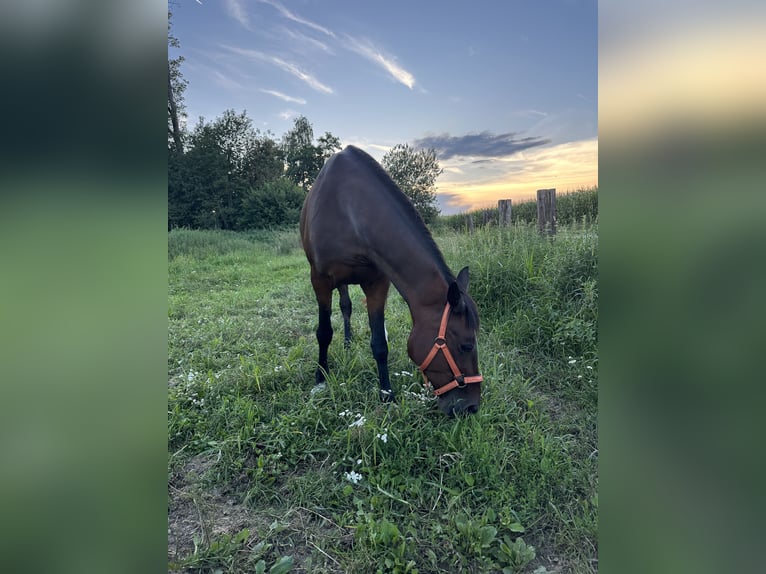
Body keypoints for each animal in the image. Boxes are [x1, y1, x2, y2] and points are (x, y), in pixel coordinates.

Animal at [302, 146, 486, 416]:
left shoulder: (378, 283)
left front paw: (386, 394)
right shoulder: (320, 281)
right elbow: (324, 332)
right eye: (466, 346)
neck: (348, 210)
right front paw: (320, 379)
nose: (471, 407)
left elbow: (380, 343)